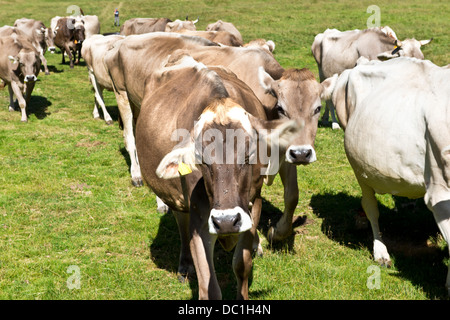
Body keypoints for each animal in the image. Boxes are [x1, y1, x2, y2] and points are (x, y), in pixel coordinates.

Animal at [134, 53, 302, 298]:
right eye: (201, 159)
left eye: (249, 154)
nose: (225, 221)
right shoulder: (200, 220)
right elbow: (209, 286)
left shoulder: (253, 204)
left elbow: (241, 265)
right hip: (176, 199)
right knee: (181, 222)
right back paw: (185, 265)